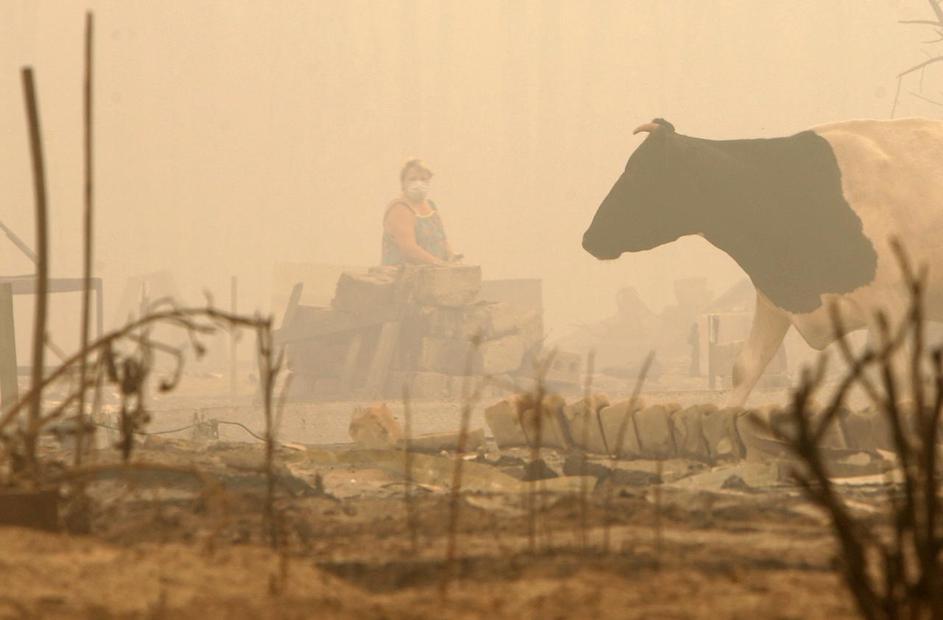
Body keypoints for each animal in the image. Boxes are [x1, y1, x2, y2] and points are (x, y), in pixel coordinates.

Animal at [582, 117, 943, 406]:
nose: (588, 238)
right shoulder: (773, 297)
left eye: (636, 173)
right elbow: (744, 367)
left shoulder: (890, 304)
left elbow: (901, 380)